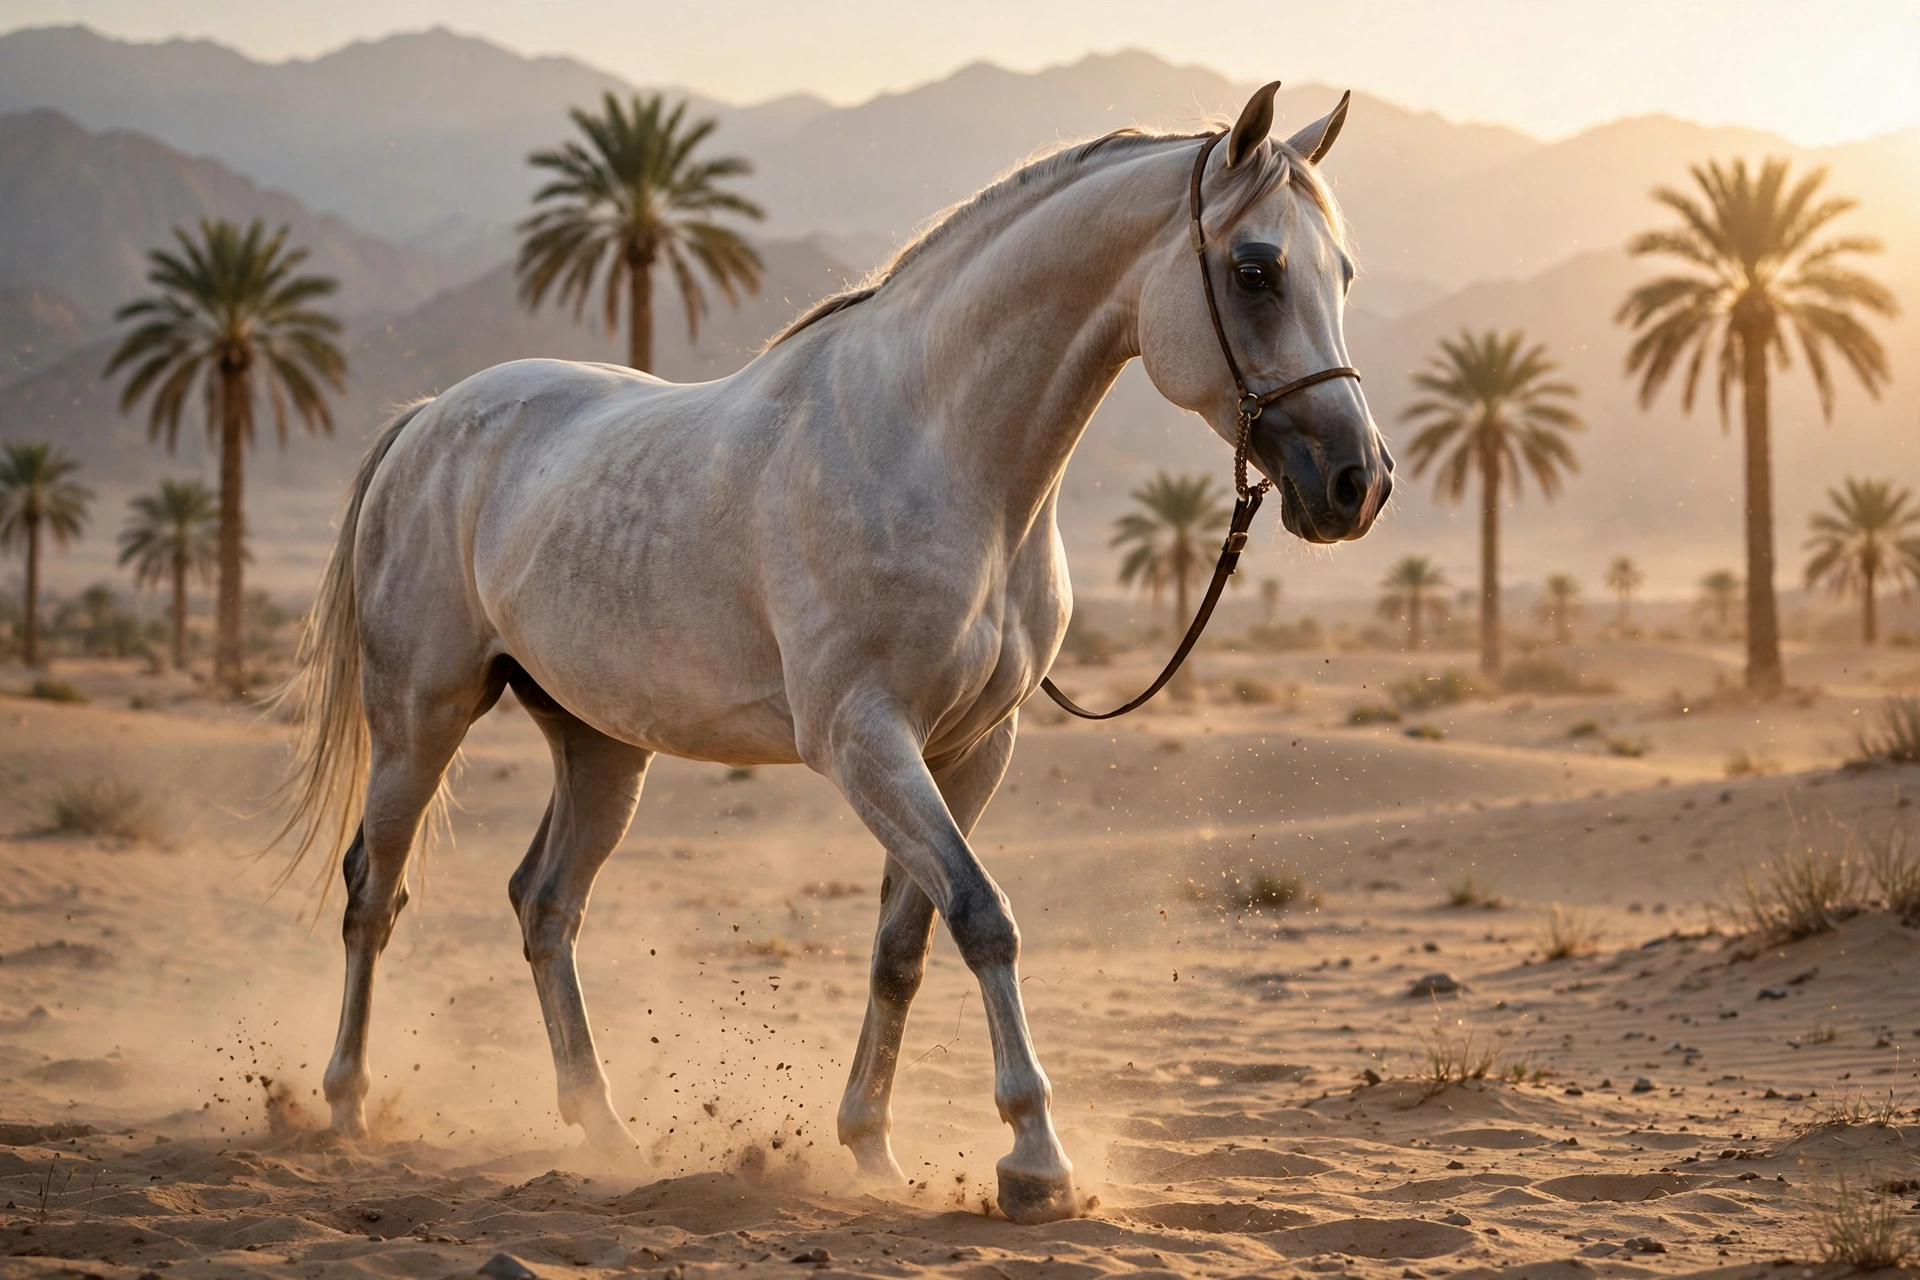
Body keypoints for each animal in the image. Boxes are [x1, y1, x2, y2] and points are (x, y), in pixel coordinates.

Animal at [276, 80, 1392, 1224]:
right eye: (1255, 269)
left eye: (1344, 273)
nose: (1359, 483)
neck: (937, 452)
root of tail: (428, 420)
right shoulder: (863, 739)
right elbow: (984, 915)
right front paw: (1035, 1157)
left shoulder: (969, 751)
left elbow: (906, 943)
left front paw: (870, 1144)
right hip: (423, 718)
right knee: (374, 889)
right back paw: (347, 1103)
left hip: (599, 744)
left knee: (544, 904)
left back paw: (605, 1129)